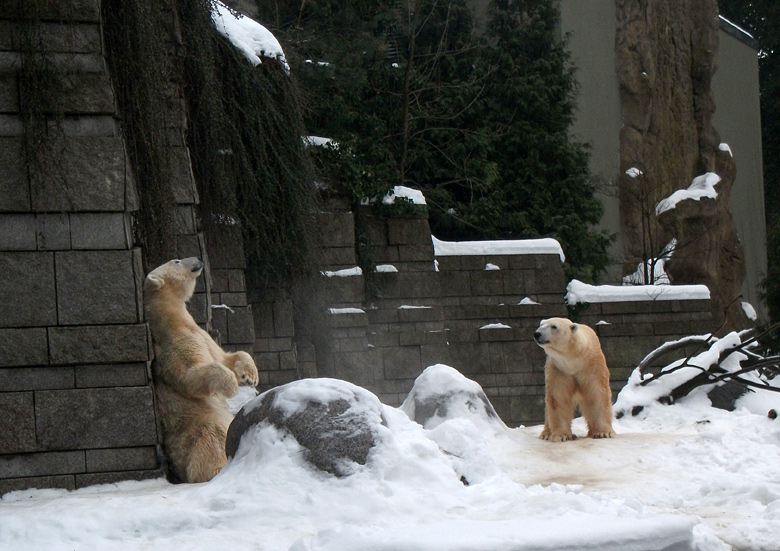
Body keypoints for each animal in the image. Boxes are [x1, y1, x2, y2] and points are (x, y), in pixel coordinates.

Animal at [143, 256, 258, 480]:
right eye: (176, 261)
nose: (197, 258)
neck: (174, 318)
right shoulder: (173, 344)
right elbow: (191, 376)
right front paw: (231, 386)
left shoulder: (201, 334)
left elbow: (225, 356)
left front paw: (250, 376)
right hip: (197, 427)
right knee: (215, 435)